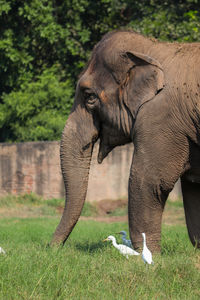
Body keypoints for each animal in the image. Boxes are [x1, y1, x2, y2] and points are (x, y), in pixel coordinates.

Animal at [50, 30, 200, 252]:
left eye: (89, 97)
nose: (52, 247)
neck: (152, 50)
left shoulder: (160, 117)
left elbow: (149, 180)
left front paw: (148, 255)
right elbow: (193, 184)